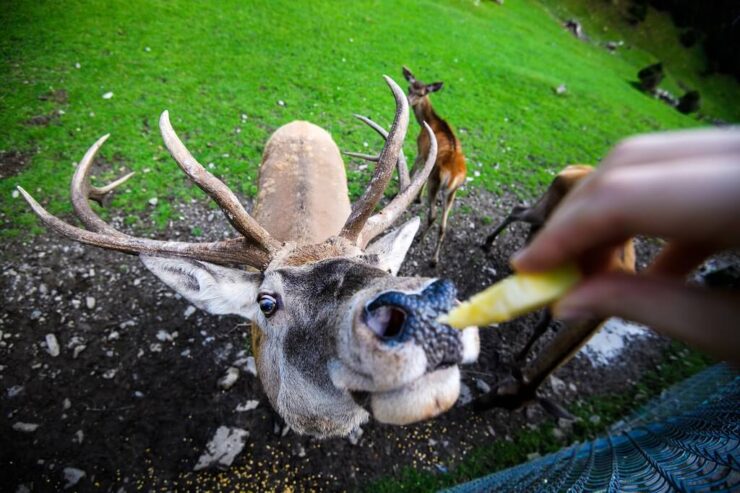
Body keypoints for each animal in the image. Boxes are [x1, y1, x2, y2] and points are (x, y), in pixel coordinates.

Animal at [401, 66, 467, 267]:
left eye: (422, 93)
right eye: (409, 87)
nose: (409, 101)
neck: (429, 122)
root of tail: (454, 176)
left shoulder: (422, 150)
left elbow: (415, 170)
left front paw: (412, 195)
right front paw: (417, 197)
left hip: (437, 182)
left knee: (432, 215)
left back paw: (419, 239)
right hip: (453, 191)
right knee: (444, 225)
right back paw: (434, 259)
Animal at [476, 165, 635, 415]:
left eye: (514, 407)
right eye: (499, 386)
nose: (476, 406)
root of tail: (572, 168)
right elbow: (543, 325)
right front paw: (520, 355)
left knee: (533, 229)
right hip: (547, 206)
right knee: (519, 210)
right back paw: (489, 242)